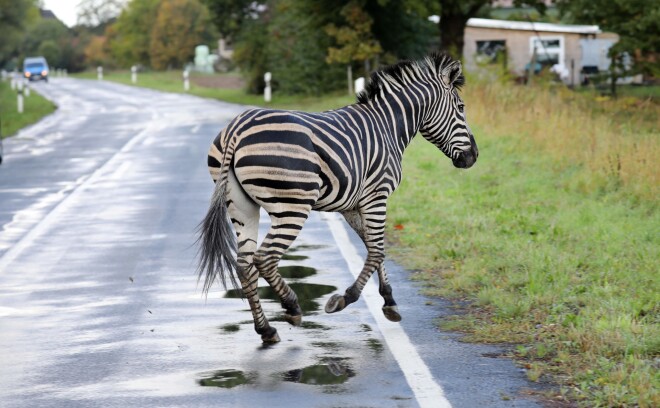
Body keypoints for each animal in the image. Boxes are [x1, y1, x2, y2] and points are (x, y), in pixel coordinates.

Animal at [199, 52, 476, 342]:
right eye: (461, 107)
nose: (473, 157)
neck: (388, 126)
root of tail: (237, 129)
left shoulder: (352, 205)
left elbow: (373, 246)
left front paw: (389, 301)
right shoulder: (377, 195)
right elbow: (377, 250)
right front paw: (345, 299)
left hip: (241, 206)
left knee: (244, 264)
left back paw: (266, 329)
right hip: (292, 206)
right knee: (264, 258)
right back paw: (292, 306)